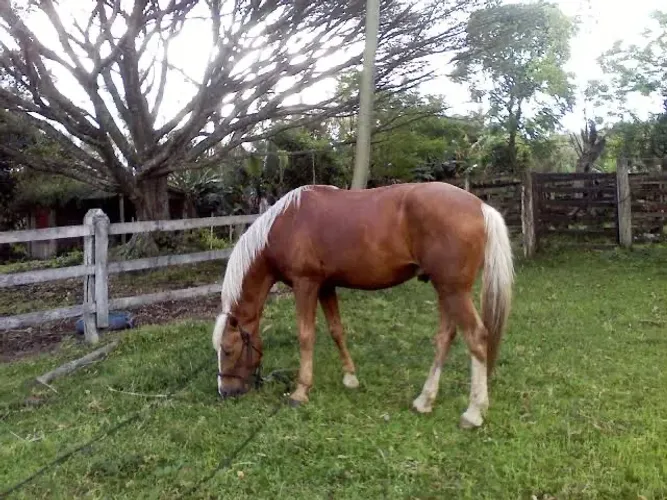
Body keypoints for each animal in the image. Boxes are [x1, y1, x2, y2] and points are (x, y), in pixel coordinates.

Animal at [211, 181, 514, 429]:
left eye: (228, 350)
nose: (225, 392)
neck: (285, 224)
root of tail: (481, 207)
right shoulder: (326, 286)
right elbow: (336, 330)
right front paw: (350, 378)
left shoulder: (305, 284)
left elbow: (306, 336)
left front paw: (300, 391)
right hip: (446, 291)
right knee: (445, 337)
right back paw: (425, 400)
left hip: (454, 291)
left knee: (477, 338)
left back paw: (473, 413)